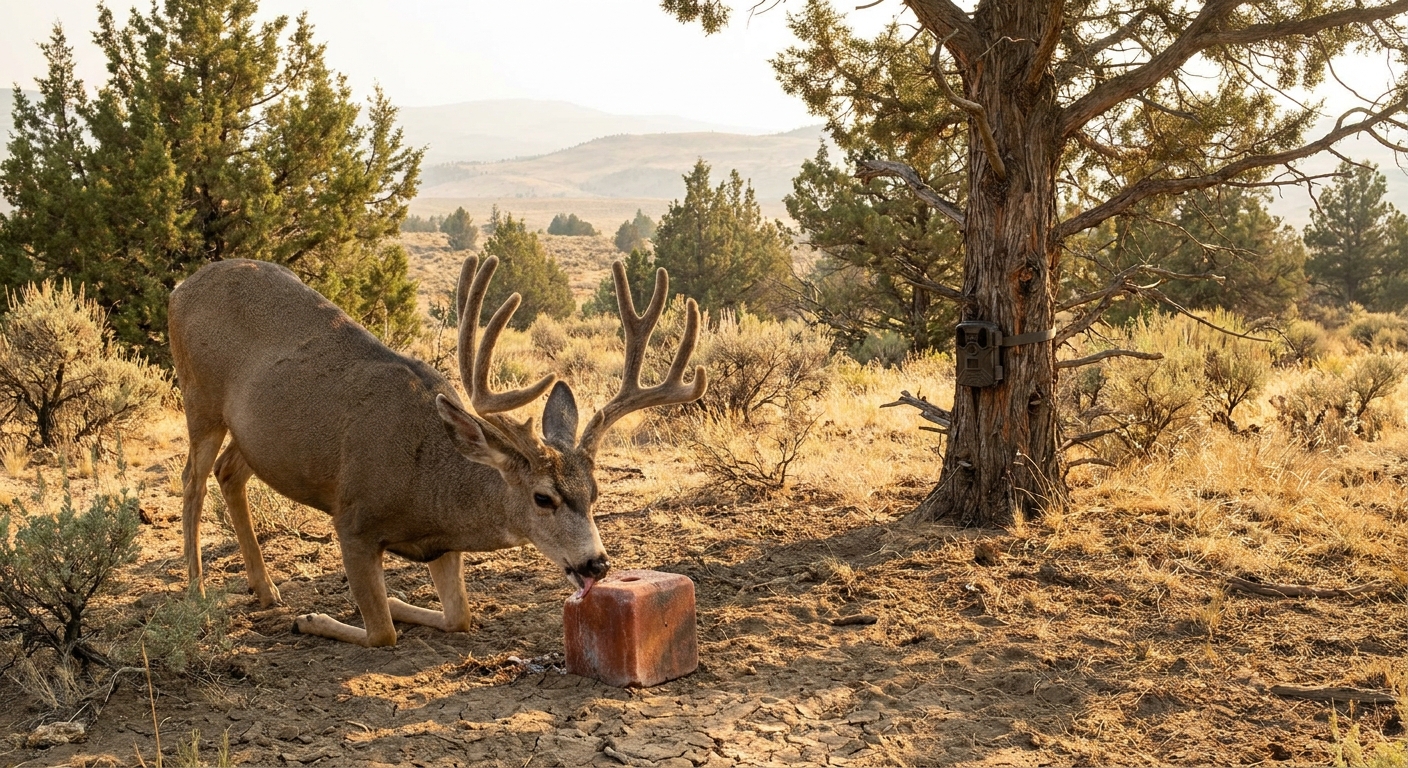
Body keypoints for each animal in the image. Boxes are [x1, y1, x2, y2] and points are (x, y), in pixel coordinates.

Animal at [168, 254, 705, 647]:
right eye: (543, 497)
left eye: (595, 493)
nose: (597, 564)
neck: (427, 486)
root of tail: (180, 288)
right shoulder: (353, 519)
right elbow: (381, 633)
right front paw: (315, 617)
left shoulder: (443, 546)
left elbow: (458, 617)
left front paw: (398, 603)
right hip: (200, 396)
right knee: (192, 478)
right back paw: (197, 590)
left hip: (253, 434)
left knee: (228, 471)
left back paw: (265, 589)